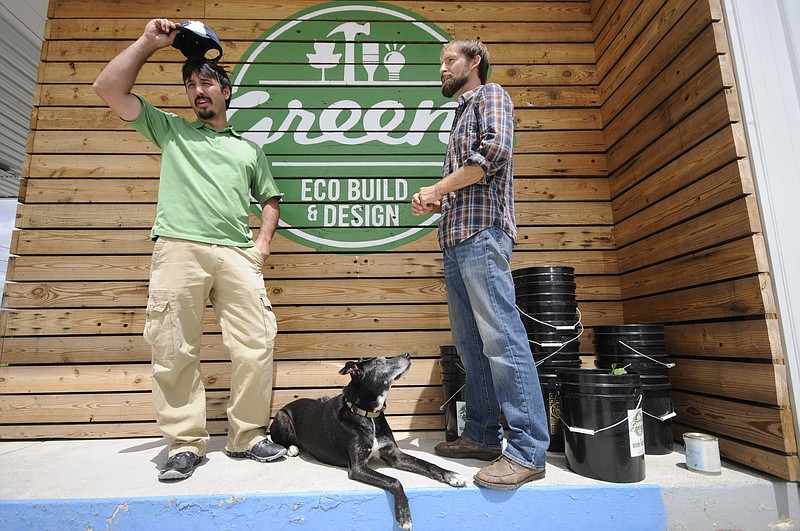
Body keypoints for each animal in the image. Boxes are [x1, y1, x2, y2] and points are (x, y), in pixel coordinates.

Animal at [270, 354, 466, 531]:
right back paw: (292, 449)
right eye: (379, 362)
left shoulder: (394, 454)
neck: (368, 415)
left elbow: (427, 464)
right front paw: (404, 515)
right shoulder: (358, 467)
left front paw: (451, 475)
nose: (408, 355)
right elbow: (394, 480)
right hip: (281, 417)